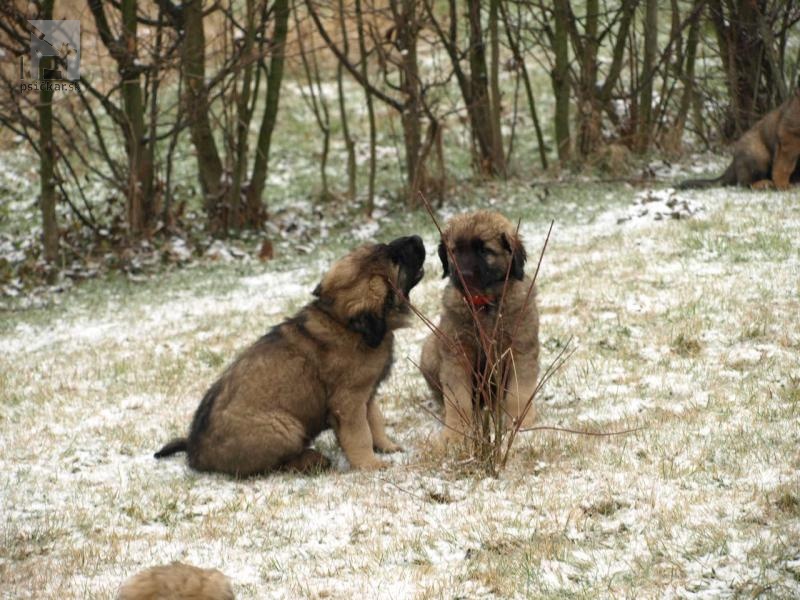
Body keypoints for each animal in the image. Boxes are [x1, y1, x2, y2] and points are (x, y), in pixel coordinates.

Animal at [159, 237, 428, 476]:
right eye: (394, 258)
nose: (418, 238)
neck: (342, 322)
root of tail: (195, 454)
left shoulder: (366, 394)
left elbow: (375, 422)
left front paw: (387, 447)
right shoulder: (348, 401)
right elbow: (360, 434)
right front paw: (371, 464)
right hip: (284, 427)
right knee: (274, 465)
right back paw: (313, 460)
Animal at [418, 211, 544, 446]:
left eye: (485, 251)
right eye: (455, 250)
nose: (464, 274)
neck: (484, 305)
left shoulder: (521, 349)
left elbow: (519, 393)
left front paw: (519, 424)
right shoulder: (456, 353)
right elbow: (458, 400)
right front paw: (455, 434)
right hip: (431, 347)